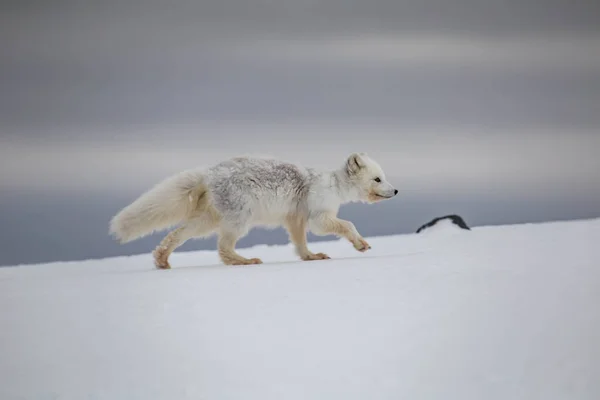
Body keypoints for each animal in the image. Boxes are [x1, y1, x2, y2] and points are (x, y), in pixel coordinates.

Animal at [108, 153, 398, 268]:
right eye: (377, 179)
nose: (396, 191)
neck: (335, 185)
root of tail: (209, 172)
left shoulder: (295, 218)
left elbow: (300, 243)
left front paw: (311, 257)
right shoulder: (318, 216)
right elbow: (347, 225)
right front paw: (361, 244)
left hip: (208, 219)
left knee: (177, 234)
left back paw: (162, 259)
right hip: (240, 217)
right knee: (223, 248)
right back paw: (246, 261)